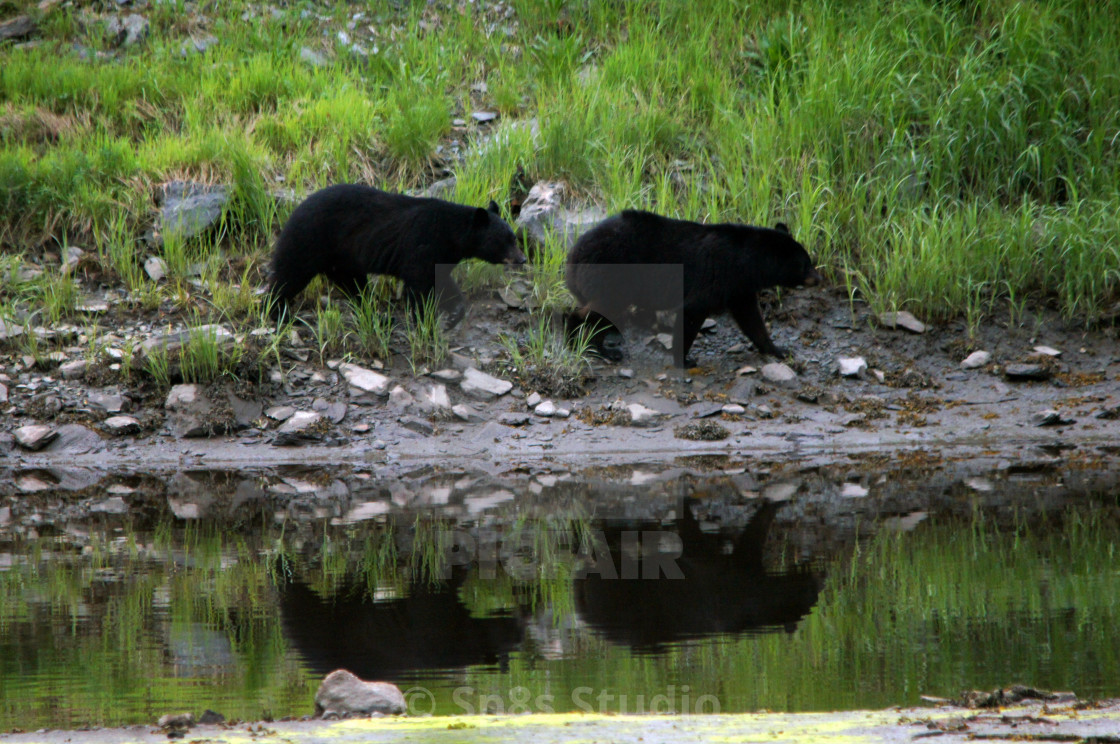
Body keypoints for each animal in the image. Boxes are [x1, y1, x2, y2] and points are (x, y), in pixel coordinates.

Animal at [266, 184, 524, 320]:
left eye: (514, 238)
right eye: (506, 240)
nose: (522, 259)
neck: (451, 233)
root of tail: (292, 211)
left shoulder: (439, 256)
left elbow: (441, 281)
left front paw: (455, 312)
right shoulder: (422, 245)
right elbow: (418, 285)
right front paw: (424, 319)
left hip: (341, 260)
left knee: (354, 284)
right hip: (309, 240)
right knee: (289, 274)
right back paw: (277, 312)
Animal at [564, 209, 819, 365]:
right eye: (805, 264)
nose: (818, 278)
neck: (747, 261)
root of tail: (574, 254)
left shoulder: (739, 288)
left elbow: (751, 319)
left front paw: (778, 349)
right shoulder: (718, 277)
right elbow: (692, 312)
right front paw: (684, 360)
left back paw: (599, 348)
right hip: (613, 276)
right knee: (601, 309)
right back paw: (580, 340)